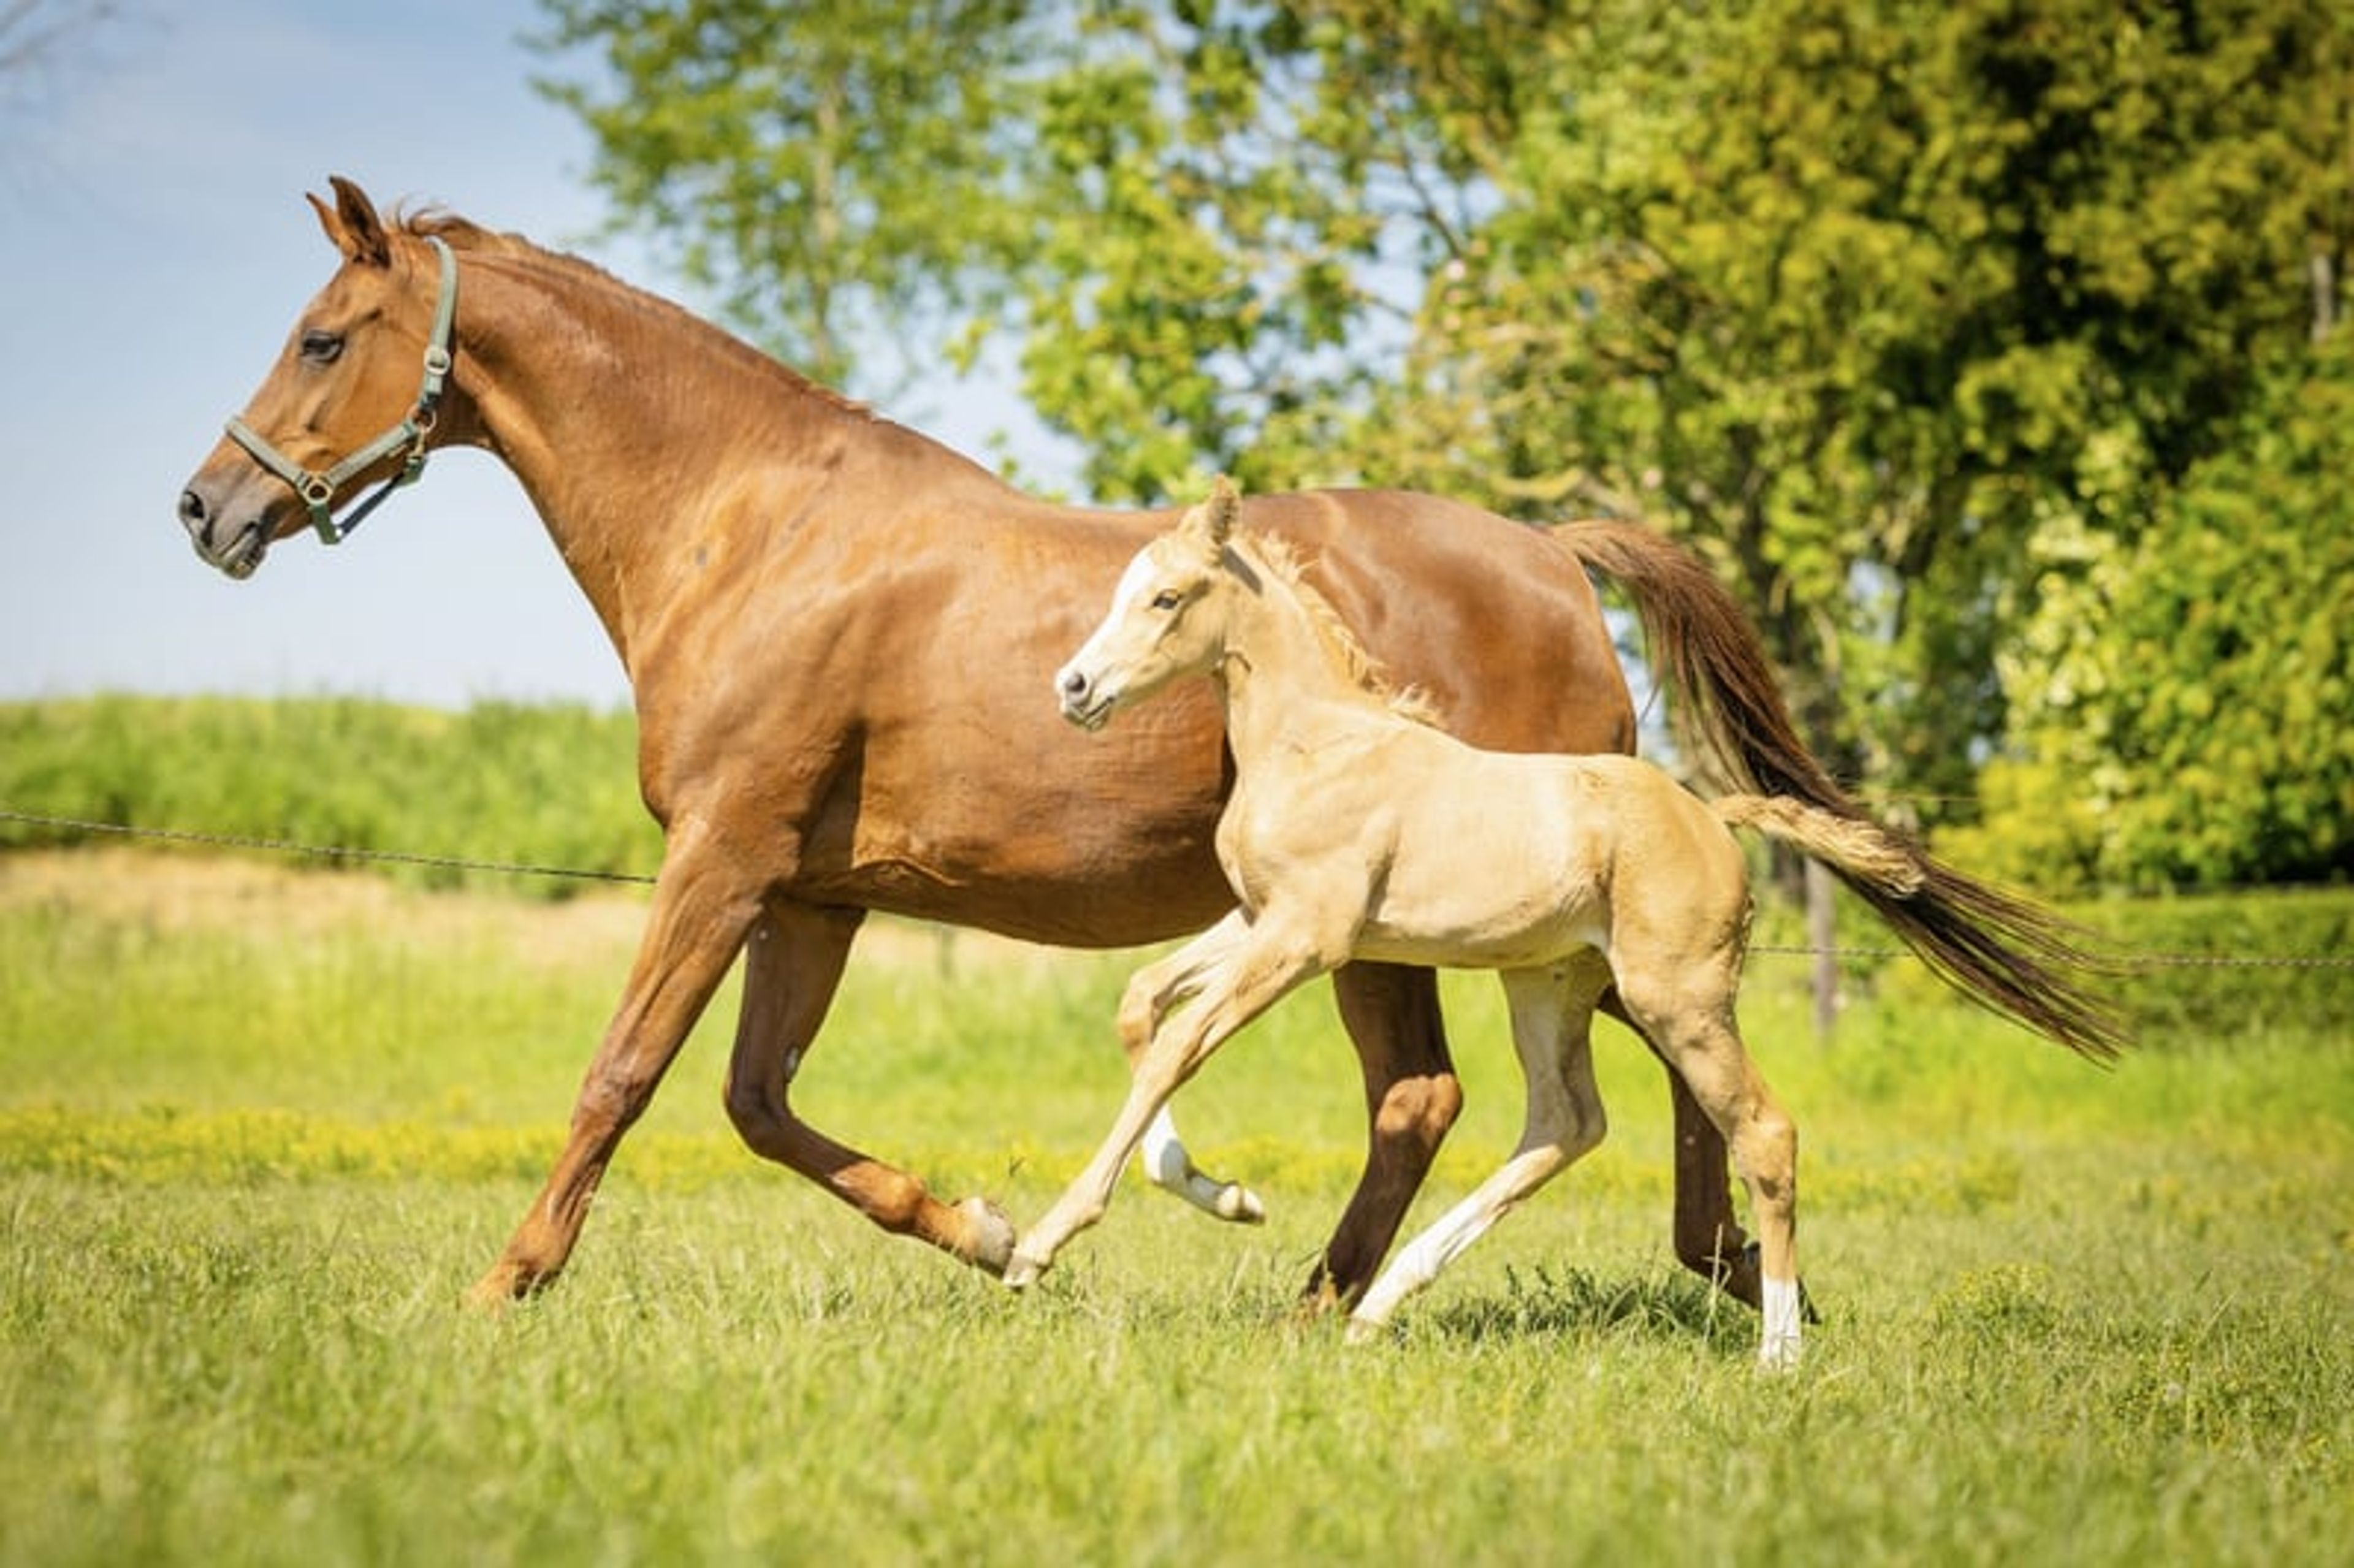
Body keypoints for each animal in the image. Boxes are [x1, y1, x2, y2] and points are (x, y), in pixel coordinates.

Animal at [1013, 480, 1981, 1364]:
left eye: (1167, 597)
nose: (1074, 686)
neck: (1319, 745)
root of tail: (1716, 815)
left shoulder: (1307, 937)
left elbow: (1179, 1045)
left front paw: (1037, 1244)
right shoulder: (1258, 918)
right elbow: (1142, 1003)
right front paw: (1227, 1193)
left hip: (1679, 999)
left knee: (1763, 1130)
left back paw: (1779, 1351)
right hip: (1549, 983)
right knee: (1567, 1121)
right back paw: (1381, 1303)